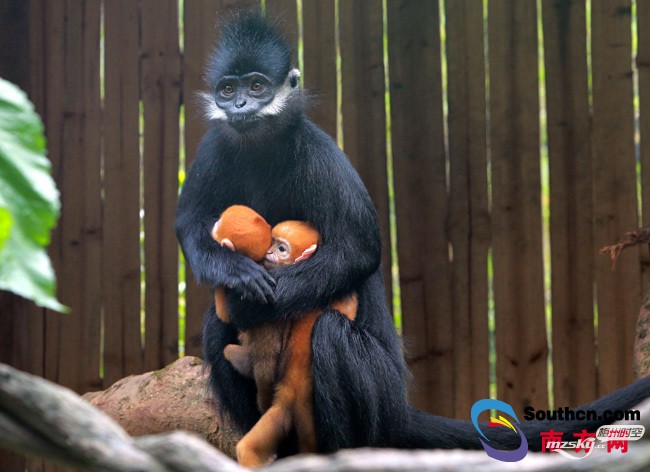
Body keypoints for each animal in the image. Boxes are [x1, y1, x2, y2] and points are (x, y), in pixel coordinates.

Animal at [210, 206, 356, 464]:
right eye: (273, 243)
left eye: (281, 249)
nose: (269, 252)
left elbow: (228, 315)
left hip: (281, 410)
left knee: (247, 448)